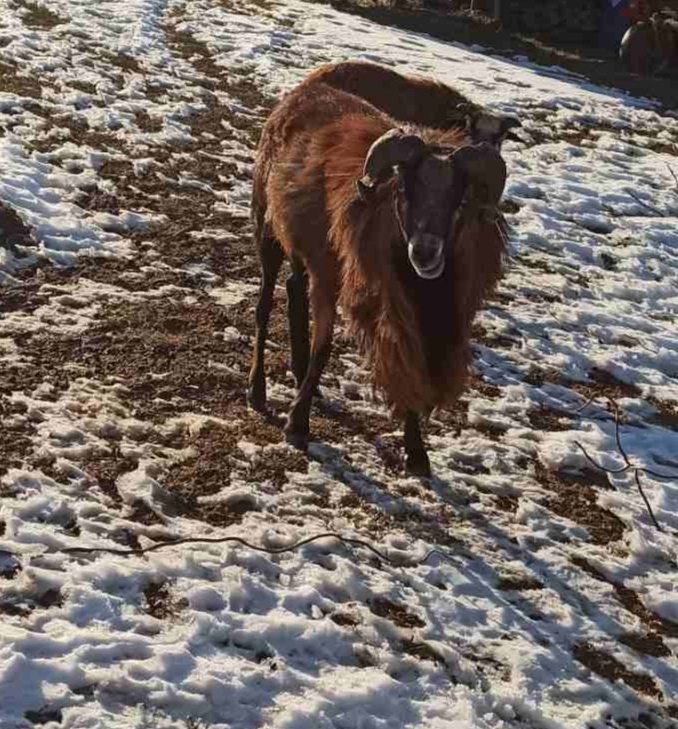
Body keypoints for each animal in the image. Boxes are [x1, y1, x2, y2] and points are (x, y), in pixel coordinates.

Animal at [247, 74, 508, 474]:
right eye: (404, 190)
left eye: (460, 200)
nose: (425, 251)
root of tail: (302, 92)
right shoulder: (336, 277)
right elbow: (325, 349)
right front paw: (298, 423)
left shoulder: (406, 308)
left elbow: (407, 362)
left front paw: (417, 452)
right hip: (269, 229)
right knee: (263, 308)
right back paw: (257, 390)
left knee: (293, 290)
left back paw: (300, 373)